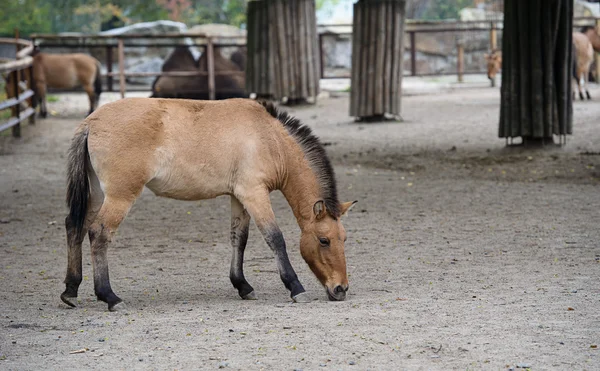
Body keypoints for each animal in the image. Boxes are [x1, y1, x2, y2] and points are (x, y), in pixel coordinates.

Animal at [62, 98, 356, 310]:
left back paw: (70, 291)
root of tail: (90, 123)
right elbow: (275, 238)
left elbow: (239, 239)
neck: (269, 138)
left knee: (75, 227)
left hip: (96, 195)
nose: (341, 289)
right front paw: (296, 287)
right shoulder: (254, 194)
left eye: (344, 238)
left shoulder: (239, 197)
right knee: (98, 233)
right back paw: (109, 296)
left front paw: (243, 286)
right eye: (324, 240)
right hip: (119, 196)